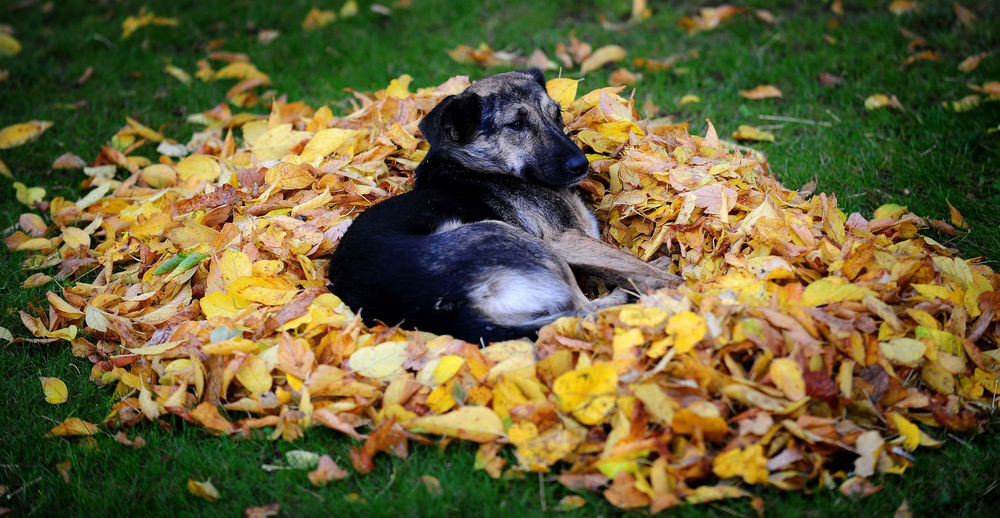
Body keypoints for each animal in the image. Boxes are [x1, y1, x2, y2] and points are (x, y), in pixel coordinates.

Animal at [328, 69, 680, 346]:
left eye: (557, 115)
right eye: (515, 125)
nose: (581, 165)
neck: (477, 167)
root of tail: (457, 315)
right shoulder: (565, 240)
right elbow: (638, 267)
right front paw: (679, 285)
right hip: (509, 236)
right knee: (584, 309)